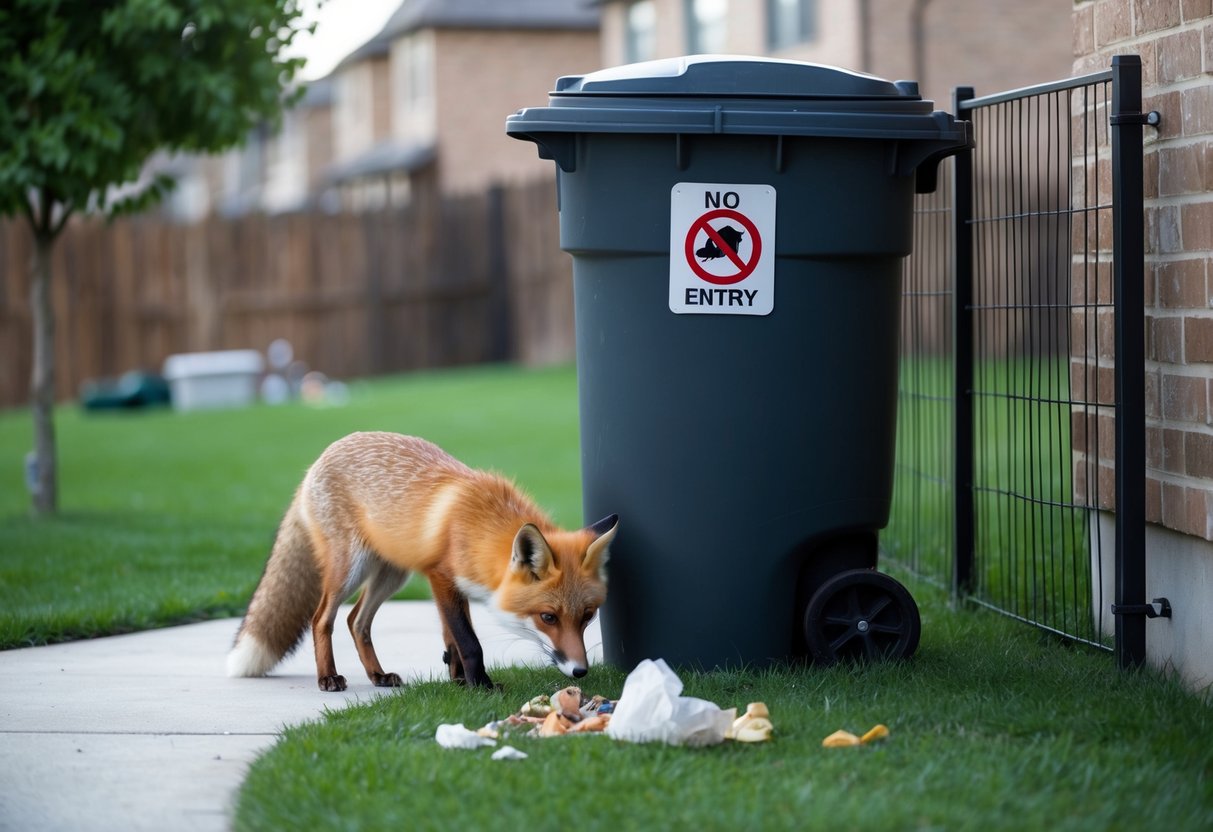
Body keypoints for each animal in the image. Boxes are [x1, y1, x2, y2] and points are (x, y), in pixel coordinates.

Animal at [226, 431, 617, 691]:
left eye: (587, 616)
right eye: (548, 617)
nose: (580, 672)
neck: (478, 528)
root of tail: (319, 459)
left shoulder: (456, 587)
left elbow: (452, 638)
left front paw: (459, 680)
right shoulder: (440, 576)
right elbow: (469, 642)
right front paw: (481, 686)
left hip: (391, 574)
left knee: (356, 621)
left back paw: (377, 675)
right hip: (350, 569)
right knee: (322, 618)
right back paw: (328, 677)